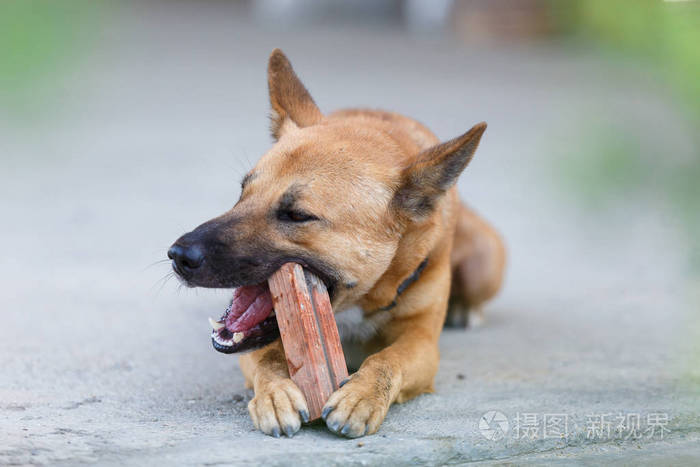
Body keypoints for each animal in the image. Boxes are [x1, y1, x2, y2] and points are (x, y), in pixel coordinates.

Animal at [167, 50, 506, 438]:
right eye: (242, 192)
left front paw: (362, 395)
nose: (178, 256)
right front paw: (275, 393)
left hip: (484, 265)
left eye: (297, 215)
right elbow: (266, 357)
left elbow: (388, 360)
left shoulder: (421, 343)